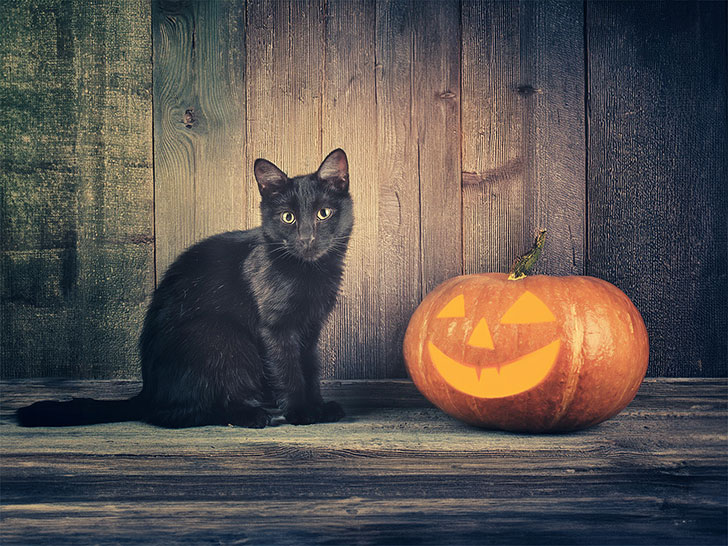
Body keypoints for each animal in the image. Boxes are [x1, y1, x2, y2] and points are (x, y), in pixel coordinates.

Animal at [16, 148, 352, 424]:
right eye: (288, 217)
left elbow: (310, 367)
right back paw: (250, 415)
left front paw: (319, 407)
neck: (311, 275)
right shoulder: (276, 328)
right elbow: (289, 370)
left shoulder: (310, 328)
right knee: (175, 414)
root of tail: (147, 392)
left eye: (323, 213)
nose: (307, 239)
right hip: (220, 336)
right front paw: (301, 411)